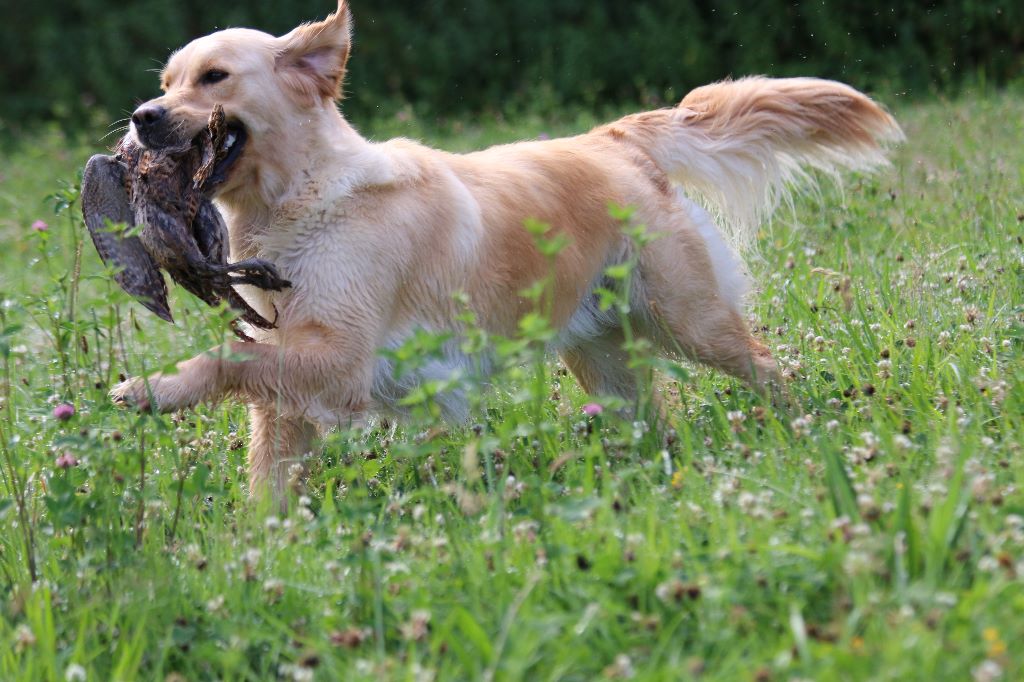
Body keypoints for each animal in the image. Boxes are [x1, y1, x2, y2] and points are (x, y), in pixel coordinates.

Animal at [108, 1, 901, 499]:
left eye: (214, 77)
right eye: (166, 83)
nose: (141, 118)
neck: (302, 199)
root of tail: (612, 137)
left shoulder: (341, 357)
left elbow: (224, 359)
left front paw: (152, 389)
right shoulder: (289, 391)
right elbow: (267, 476)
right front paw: (263, 549)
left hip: (690, 318)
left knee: (767, 366)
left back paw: (803, 431)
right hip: (604, 359)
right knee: (657, 418)